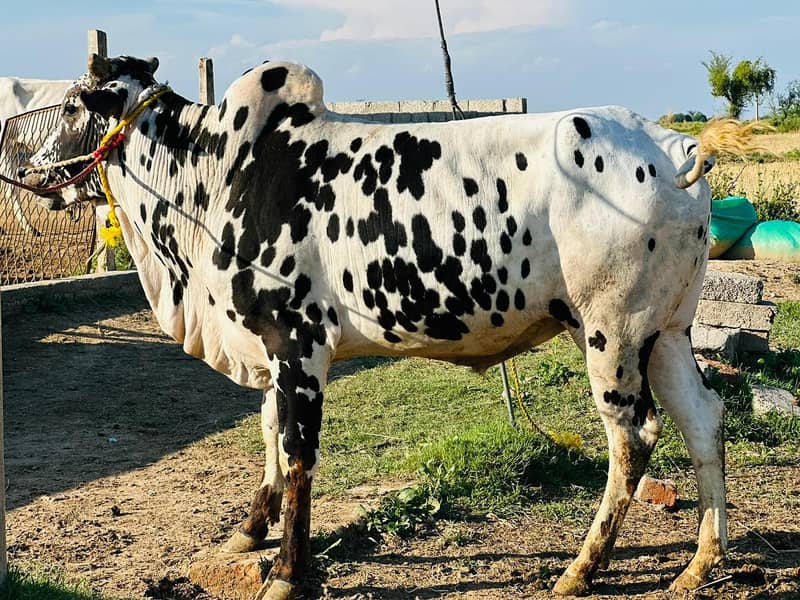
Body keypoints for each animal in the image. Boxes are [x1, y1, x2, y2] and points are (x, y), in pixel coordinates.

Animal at [21, 54, 754, 599]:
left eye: (77, 104)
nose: (27, 169)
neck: (222, 173)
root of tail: (671, 145)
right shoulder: (271, 346)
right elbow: (267, 430)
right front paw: (249, 531)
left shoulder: (297, 342)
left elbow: (296, 451)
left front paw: (287, 572)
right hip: (668, 328)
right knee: (703, 417)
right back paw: (700, 562)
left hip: (612, 331)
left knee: (634, 436)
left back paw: (581, 569)